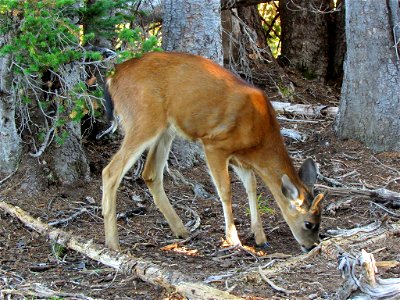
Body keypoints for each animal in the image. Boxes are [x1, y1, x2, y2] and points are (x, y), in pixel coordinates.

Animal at [100, 51, 324, 251]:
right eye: (309, 224)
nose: (312, 246)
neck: (260, 137)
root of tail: (113, 77)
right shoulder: (215, 145)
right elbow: (226, 190)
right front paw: (233, 239)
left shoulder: (240, 158)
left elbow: (251, 186)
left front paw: (260, 237)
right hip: (144, 119)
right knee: (110, 171)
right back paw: (113, 244)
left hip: (165, 129)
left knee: (150, 174)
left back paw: (181, 230)